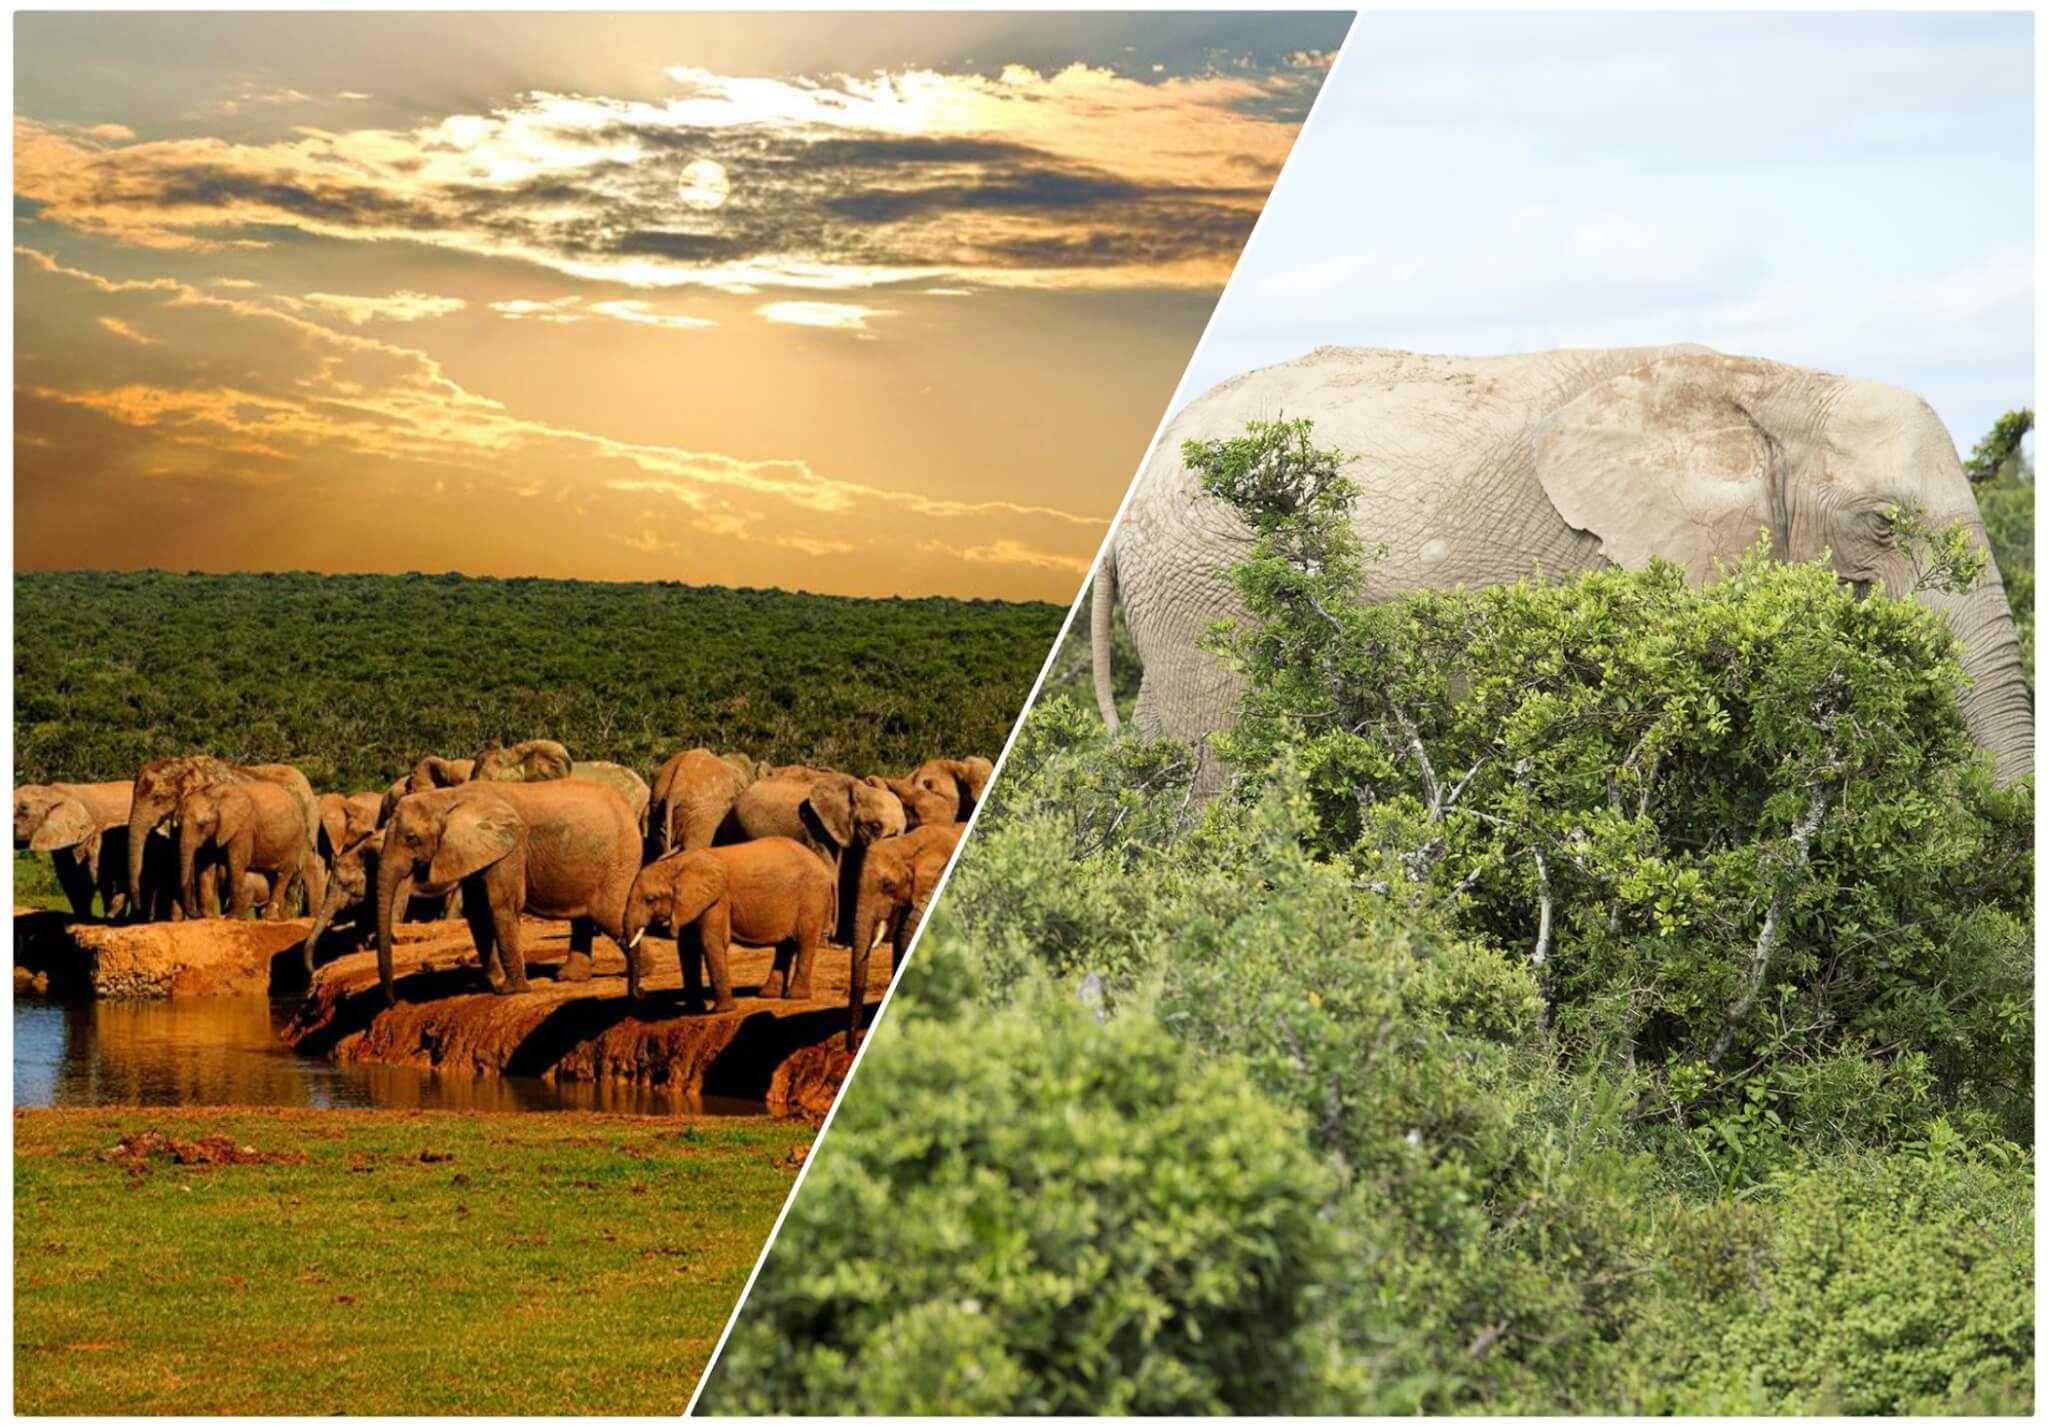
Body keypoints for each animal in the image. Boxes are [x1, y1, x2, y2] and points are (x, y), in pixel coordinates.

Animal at [14, 781, 140, 917]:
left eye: (24, 807)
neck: (50, 792)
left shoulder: (83, 831)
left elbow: (82, 877)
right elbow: (68, 875)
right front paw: (82, 916)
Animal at [176, 782, 312, 920]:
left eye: (203, 824)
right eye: (179, 822)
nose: (197, 913)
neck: (216, 794)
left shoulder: (243, 828)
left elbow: (235, 864)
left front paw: (233, 917)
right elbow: (206, 868)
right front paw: (208, 916)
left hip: (296, 841)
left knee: (282, 874)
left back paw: (271, 918)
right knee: (271, 876)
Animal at [371, 779, 640, 1003]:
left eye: (411, 838)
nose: (392, 1001)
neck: (447, 797)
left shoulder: (510, 848)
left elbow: (501, 904)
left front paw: (511, 990)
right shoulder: (476, 850)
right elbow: (477, 910)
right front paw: (495, 984)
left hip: (620, 858)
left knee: (609, 915)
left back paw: (642, 972)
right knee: (585, 918)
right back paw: (571, 977)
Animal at [620, 837, 834, 1022]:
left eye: (650, 899)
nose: (642, 993)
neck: (677, 865)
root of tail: (821, 863)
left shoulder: (718, 900)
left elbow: (710, 943)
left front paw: (722, 1011)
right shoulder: (691, 903)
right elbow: (688, 949)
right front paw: (695, 1009)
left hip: (813, 896)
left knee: (805, 942)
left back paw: (795, 997)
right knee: (785, 946)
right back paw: (768, 995)